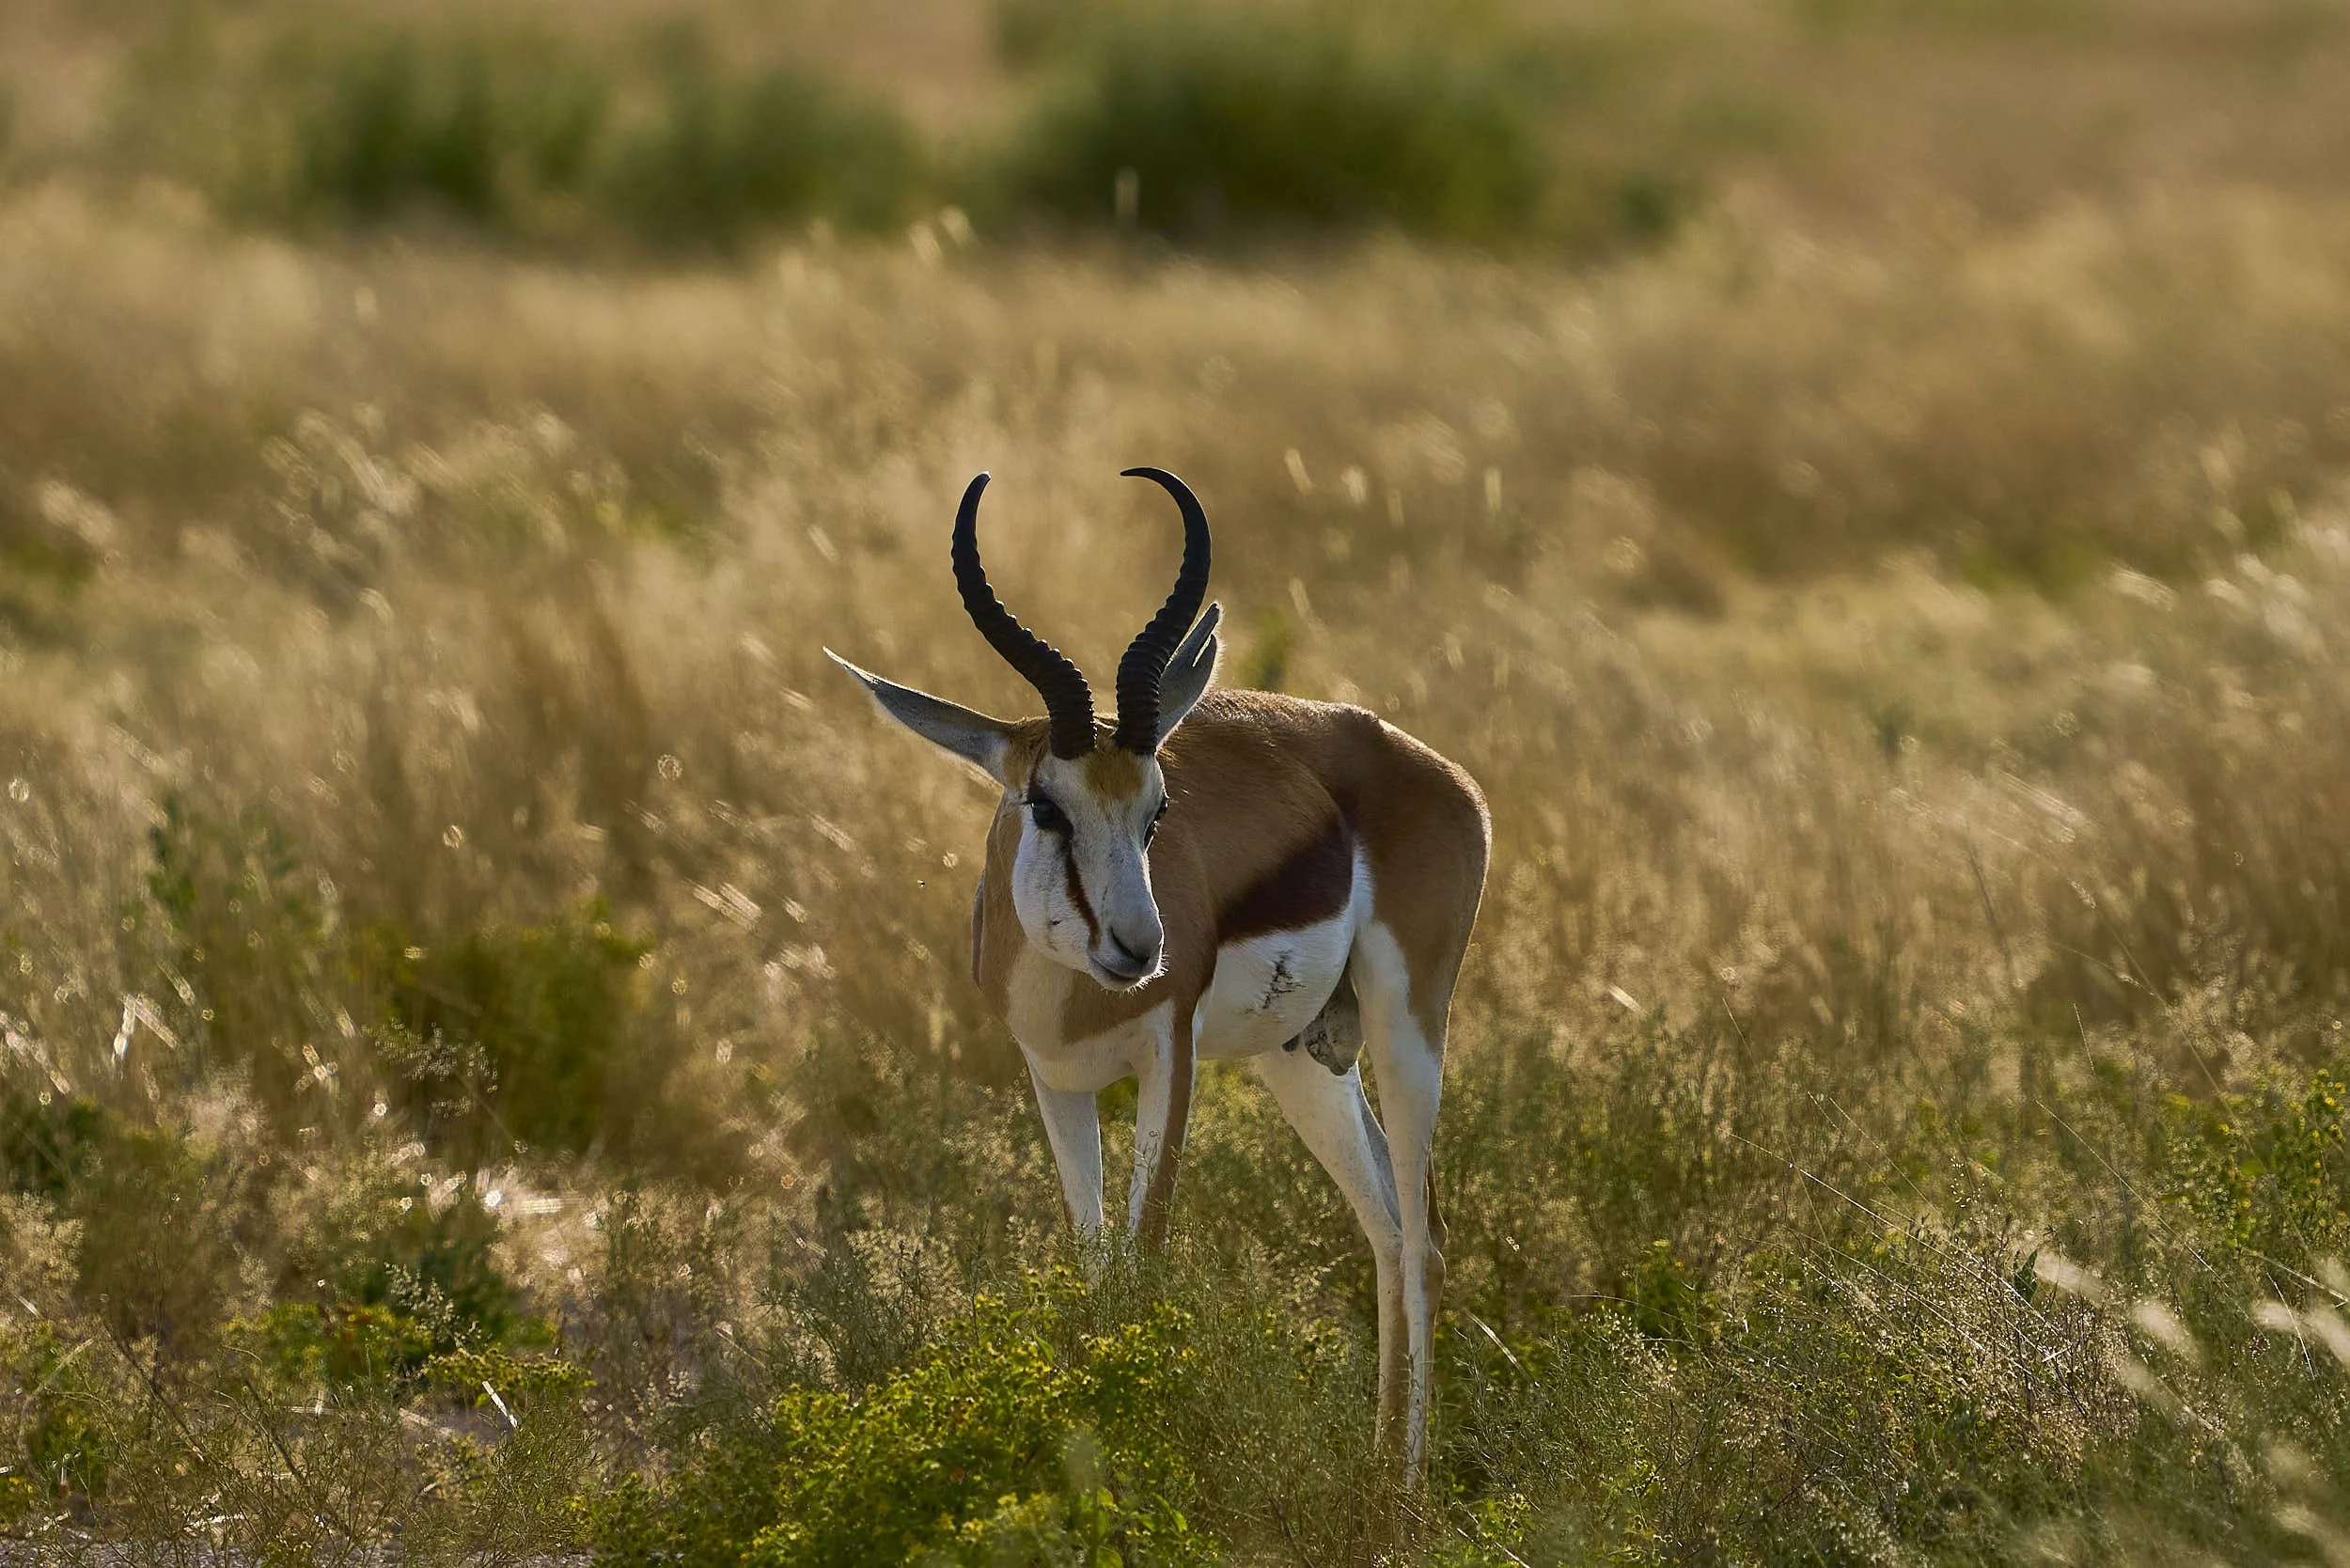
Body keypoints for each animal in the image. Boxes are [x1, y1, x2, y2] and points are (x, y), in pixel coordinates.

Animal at [828, 469, 1488, 1479]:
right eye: (1045, 805)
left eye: (1159, 807)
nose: (1143, 949)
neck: (1076, 1000)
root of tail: (1445, 776)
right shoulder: (1052, 1080)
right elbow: (1094, 1265)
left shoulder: (1166, 1058)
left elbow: (1144, 1263)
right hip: (1300, 1058)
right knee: (1382, 1221)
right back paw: (1375, 1474)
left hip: (1407, 1023)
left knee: (1423, 1240)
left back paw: (1406, 1494)